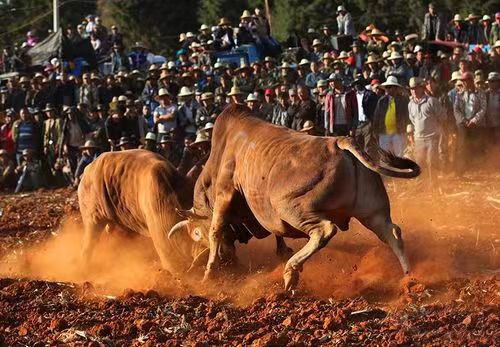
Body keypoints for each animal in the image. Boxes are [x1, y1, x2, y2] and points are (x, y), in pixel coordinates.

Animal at [77, 150, 206, 278]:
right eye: (195, 234)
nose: (204, 253)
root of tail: (87, 170)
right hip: (93, 214)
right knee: (91, 236)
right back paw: (84, 270)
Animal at [170, 105, 420, 290]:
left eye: (195, 233)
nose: (227, 258)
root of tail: (339, 142)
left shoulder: (225, 194)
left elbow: (215, 230)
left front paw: (208, 273)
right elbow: (277, 235)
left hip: (292, 208)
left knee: (324, 231)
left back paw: (291, 273)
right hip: (372, 212)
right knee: (393, 234)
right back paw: (408, 278)